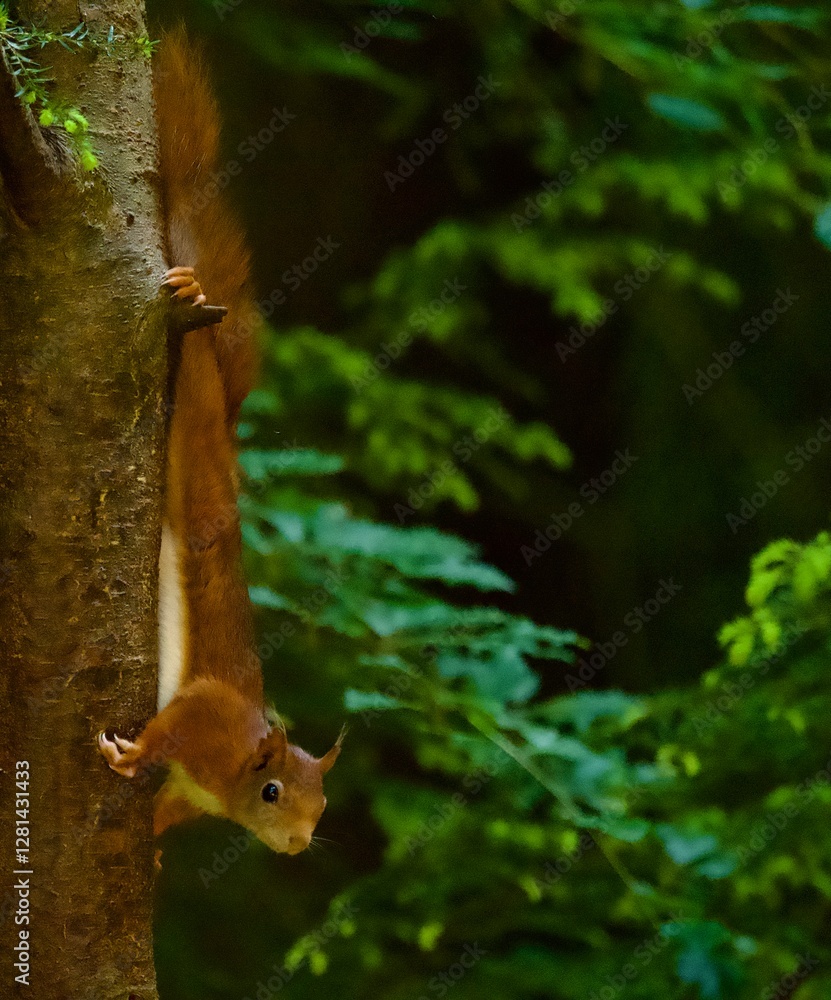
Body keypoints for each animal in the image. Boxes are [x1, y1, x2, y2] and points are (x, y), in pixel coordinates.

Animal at [97, 30, 341, 857]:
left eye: (322, 805)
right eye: (272, 792)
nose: (297, 846)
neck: (232, 768)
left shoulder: (191, 794)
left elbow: (166, 812)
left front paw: (155, 849)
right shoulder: (206, 719)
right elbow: (169, 729)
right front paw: (130, 754)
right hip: (194, 442)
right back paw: (185, 293)